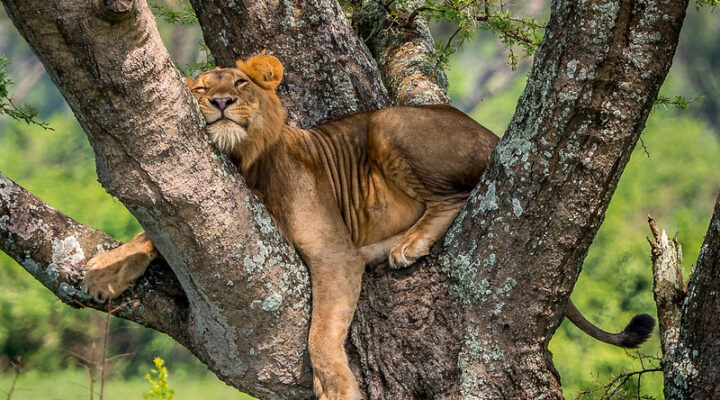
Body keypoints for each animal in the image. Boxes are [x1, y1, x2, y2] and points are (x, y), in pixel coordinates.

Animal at [83, 55, 654, 400]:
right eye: (201, 88)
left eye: (240, 84)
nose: (220, 103)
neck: (245, 164)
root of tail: (493, 134)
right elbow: (150, 234)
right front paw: (105, 271)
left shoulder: (333, 253)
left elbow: (320, 334)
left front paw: (338, 387)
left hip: (387, 124)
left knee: (454, 197)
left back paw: (408, 245)